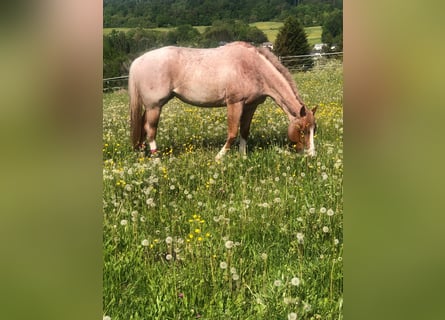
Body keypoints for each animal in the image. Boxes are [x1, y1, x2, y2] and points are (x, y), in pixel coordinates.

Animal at [127, 40, 316, 159]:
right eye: (302, 130)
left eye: (314, 129)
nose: (311, 155)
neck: (253, 67)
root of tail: (138, 61)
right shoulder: (235, 103)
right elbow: (232, 133)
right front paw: (219, 157)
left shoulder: (250, 106)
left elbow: (244, 131)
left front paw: (242, 157)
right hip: (155, 106)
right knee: (150, 130)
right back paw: (156, 159)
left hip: (152, 107)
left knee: (143, 126)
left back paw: (142, 153)